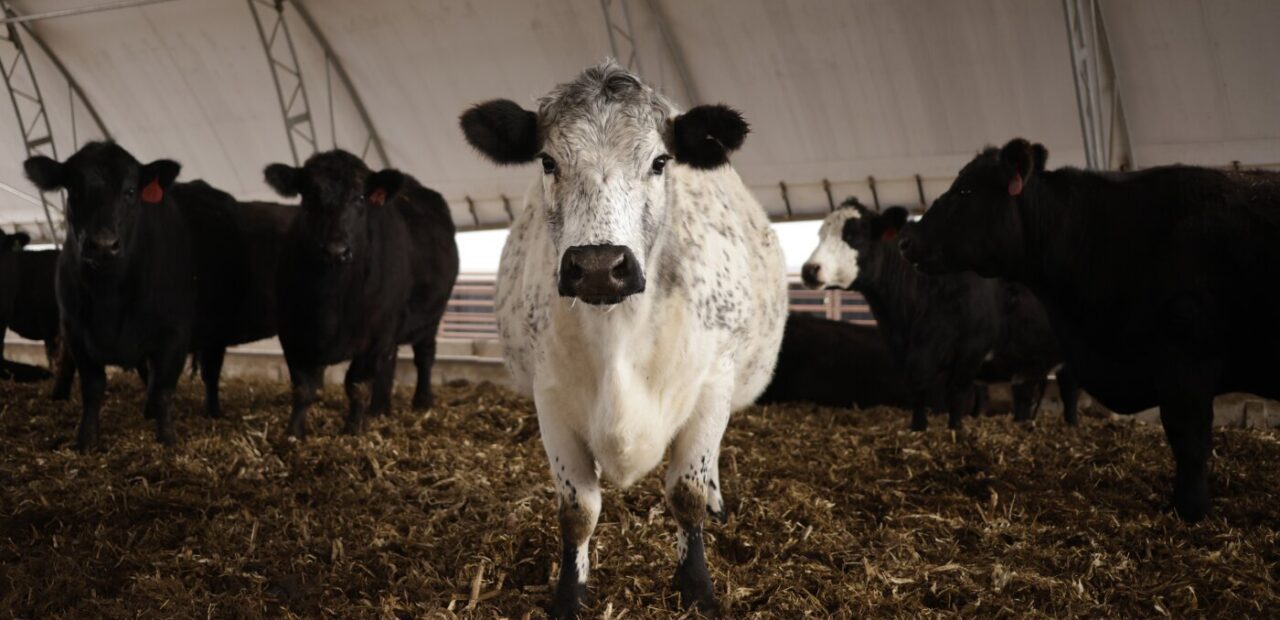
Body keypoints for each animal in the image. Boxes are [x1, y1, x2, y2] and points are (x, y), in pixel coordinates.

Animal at [25, 142, 194, 450]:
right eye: (73, 188)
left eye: (130, 190)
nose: (102, 245)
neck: (110, 297)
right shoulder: (75, 330)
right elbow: (92, 387)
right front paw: (86, 440)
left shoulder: (175, 331)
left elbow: (163, 389)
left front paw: (167, 439)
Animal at [264, 149, 458, 439]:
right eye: (309, 196)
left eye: (360, 198)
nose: (336, 250)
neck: (330, 299)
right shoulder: (292, 332)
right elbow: (304, 388)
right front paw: (293, 433)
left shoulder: (375, 335)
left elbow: (357, 385)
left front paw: (353, 430)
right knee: (390, 361)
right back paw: (380, 408)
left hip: (431, 317)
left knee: (424, 356)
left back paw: (422, 401)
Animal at [460, 61, 787, 618]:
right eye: (548, 160)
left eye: (659, 161)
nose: (597, 265)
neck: (618, 335)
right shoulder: (550, 398)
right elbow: (578, 510)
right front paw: (570, 594)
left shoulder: (712, 385)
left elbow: (686, 494)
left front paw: (697, 587)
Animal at [802, 200, 1078, 429]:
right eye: (820, 234)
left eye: (853, 235)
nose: (809, 269)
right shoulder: (909, 356)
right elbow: (918, 394)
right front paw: (917, 429)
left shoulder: (971, 349)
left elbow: (956, 397)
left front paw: (955, 431)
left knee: (1068, 391)